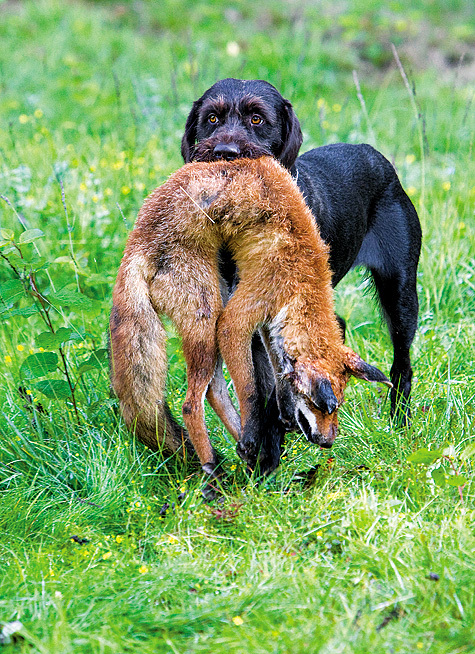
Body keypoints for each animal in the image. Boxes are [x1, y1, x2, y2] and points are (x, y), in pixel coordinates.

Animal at [109, 157, 392, 480]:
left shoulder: (270, 325)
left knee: (214, 391)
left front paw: (278, 419)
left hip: (215, 306)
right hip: (208, 317)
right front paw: (254, 432)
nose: (328, 443)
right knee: (191, 405)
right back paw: (215, 472)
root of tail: (135, 244)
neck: (303, 276)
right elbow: (251, 391)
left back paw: (250, 455)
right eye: (323, 407)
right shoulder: (237, 319)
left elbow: (279, 374)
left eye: (340, 406)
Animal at [180, 79, 422, 474]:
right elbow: (259, 386)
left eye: (257, 118)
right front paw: (263, 452)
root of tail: (375, 155)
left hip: (399, 291)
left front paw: (267, 456)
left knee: (402, 362)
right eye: (212, 118)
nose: (225, 151)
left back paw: (399, 423)